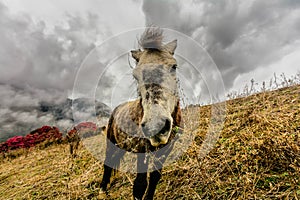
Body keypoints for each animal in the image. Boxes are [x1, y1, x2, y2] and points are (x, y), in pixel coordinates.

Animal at [99, 27, 182, 200]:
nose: (155, 126)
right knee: (107, 162)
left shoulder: (166, 149)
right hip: (111, 143)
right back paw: (103, 189)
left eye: (174, 66)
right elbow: (140, 185)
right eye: (135, 75)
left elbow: (155, 178)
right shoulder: (141, 150)